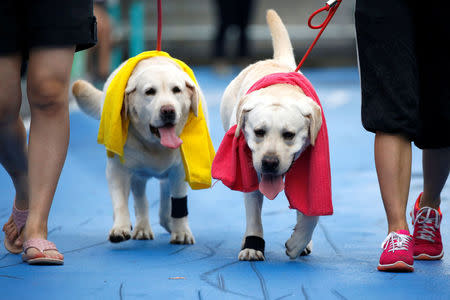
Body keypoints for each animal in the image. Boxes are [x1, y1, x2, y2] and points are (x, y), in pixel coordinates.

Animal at [71, 55, 206, 244]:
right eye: (150, 91)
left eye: (176, 90)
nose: (168, 110)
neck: (155, 145)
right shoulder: (117, 169)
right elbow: (120, 201)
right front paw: (120, 227)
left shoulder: (179, 171)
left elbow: (178, 203)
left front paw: (181, 231)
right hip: (137, 176)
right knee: (140, 200)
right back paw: (142, 228)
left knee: (165, 196)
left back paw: (167, 222)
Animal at [220, 9, 322, 260]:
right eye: (259, 132)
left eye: (289, 134)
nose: (269, 162)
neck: (280, 91)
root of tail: (278, 61)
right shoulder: (250, 169)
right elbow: (253, 212)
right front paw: (252, 245)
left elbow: (311, 212)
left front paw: (299, 241)